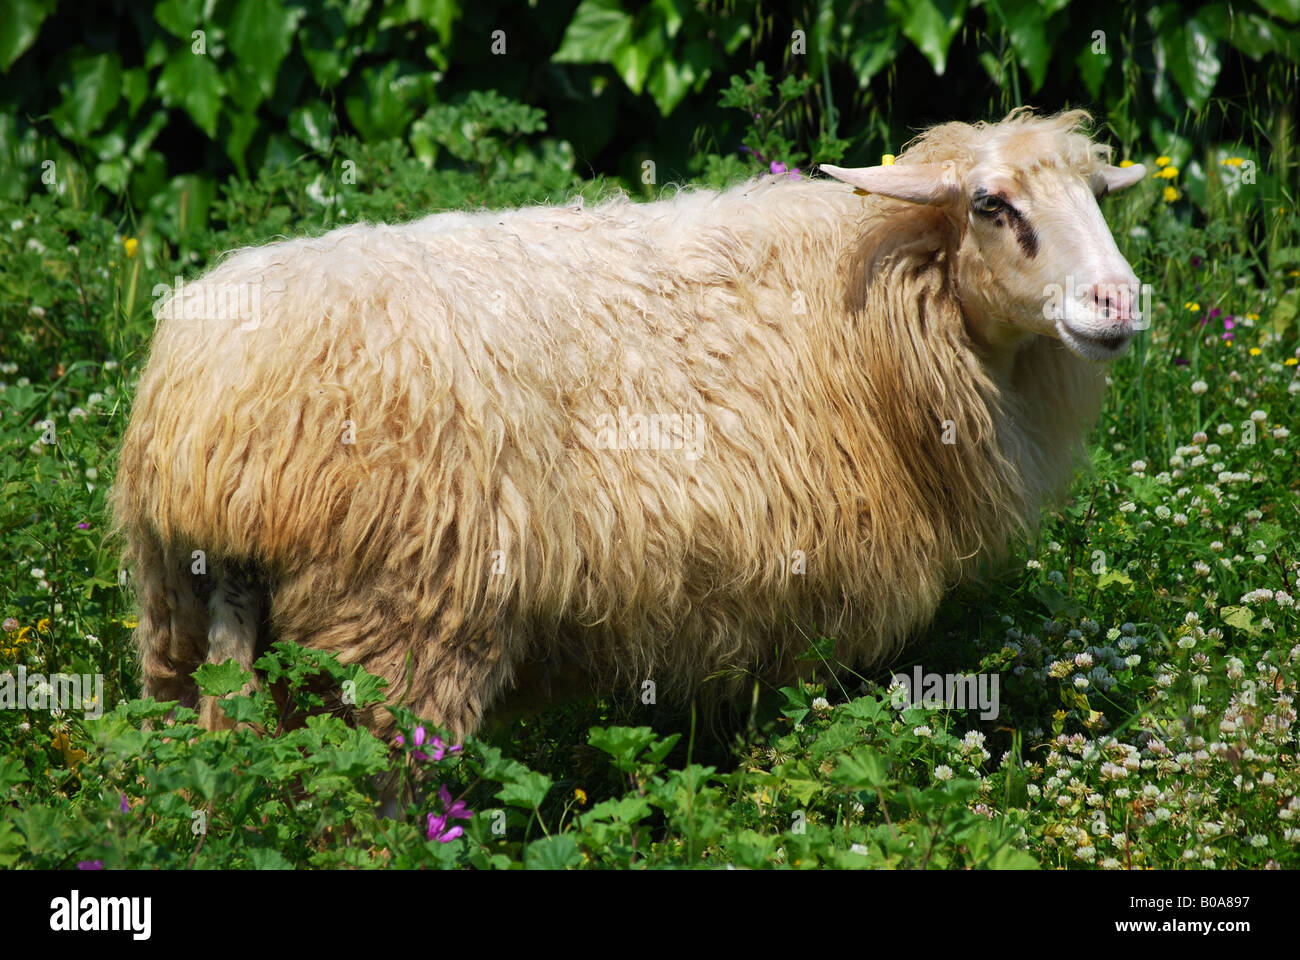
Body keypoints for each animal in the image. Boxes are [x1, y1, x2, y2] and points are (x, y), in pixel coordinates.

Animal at [114, 110, 1149, 738]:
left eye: (1098, 198)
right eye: (991, 205)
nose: (1118, 302)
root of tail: (214, 419)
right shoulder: (813, 590)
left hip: (187, 618)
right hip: (401, 628)